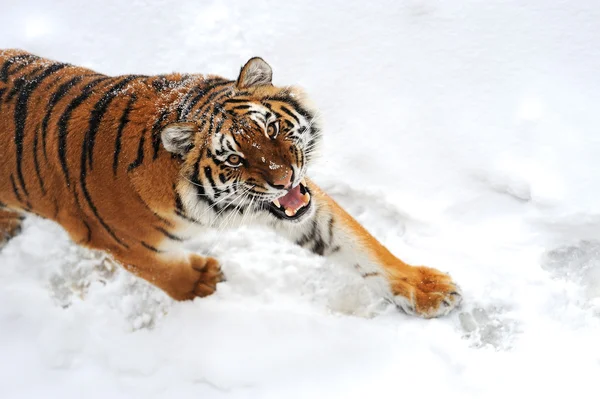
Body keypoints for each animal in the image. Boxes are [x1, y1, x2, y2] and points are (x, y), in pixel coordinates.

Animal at [0, 50, 464, 318]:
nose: (284, 178)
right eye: (235, 159)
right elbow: (164, 273)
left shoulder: (293, 207)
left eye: (272, 128)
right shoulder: (112, 241)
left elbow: (356, 244)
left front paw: (426, 289)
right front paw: (201, 282)